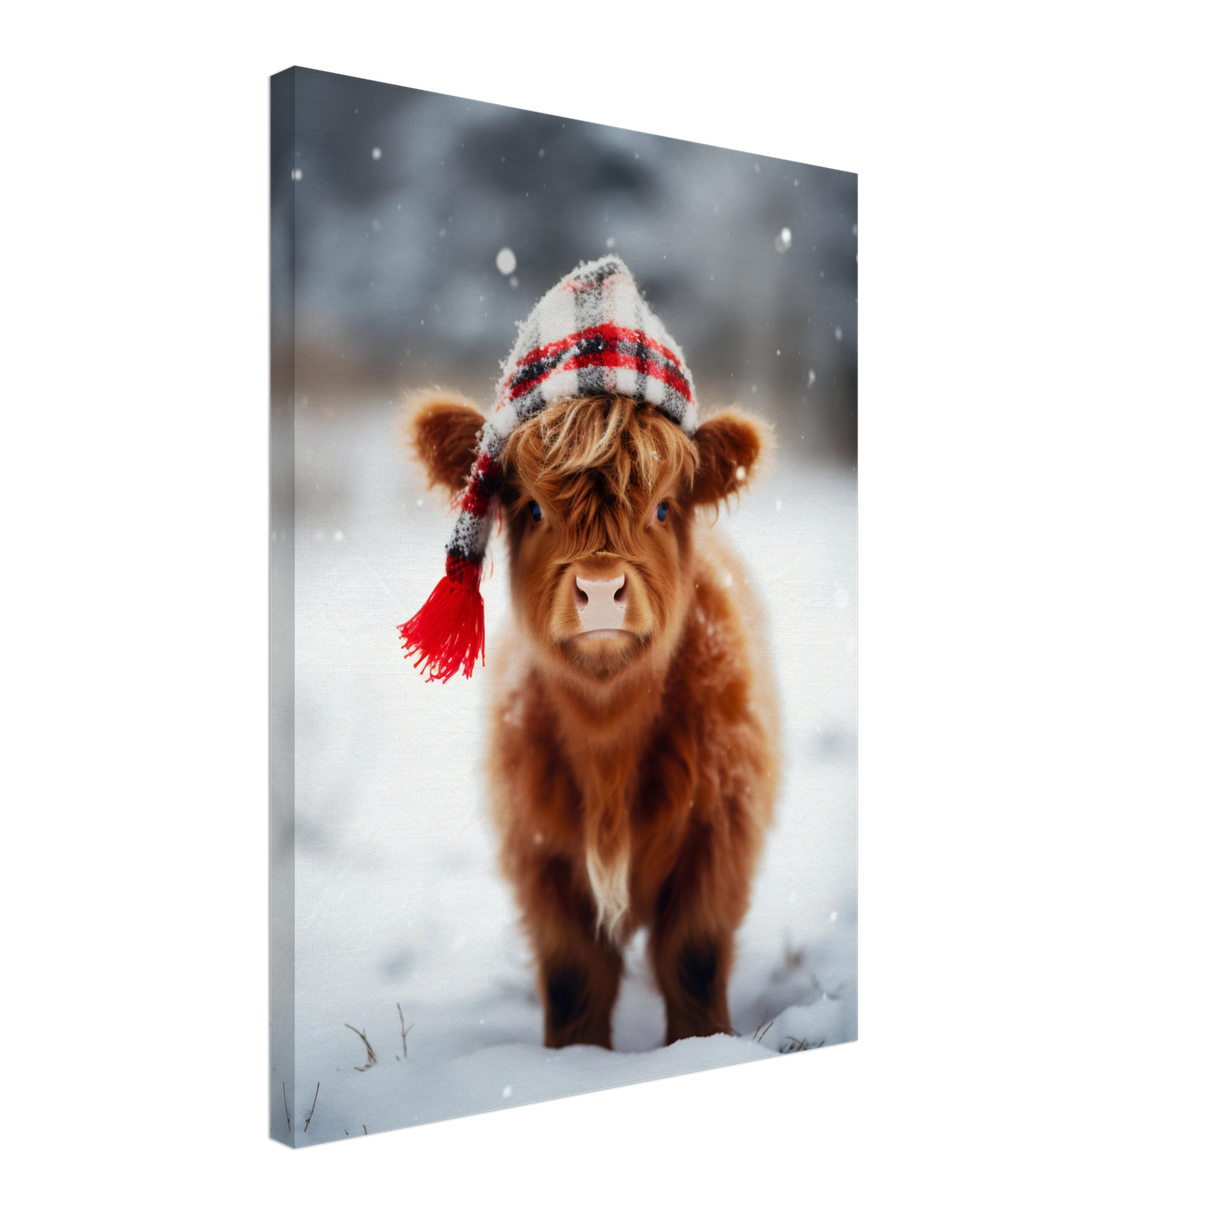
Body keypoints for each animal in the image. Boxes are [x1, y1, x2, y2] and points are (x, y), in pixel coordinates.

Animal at [399, 257, 779, 1049]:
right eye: (532, 508)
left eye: (663, 506)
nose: (600, 588)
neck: (609, 746)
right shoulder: (540, 854)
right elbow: (576, 975)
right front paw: (572, 1058)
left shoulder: (720, 837)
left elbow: (692, 958)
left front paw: (699, 1044)